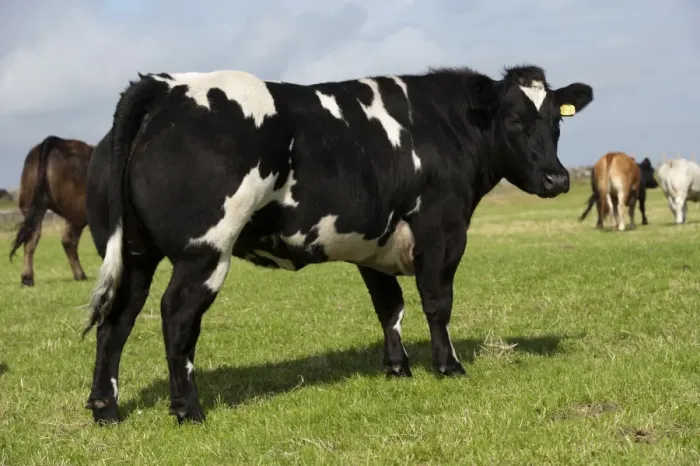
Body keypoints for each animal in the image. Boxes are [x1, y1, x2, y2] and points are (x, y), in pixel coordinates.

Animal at [9, 136, 93, 286]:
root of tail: (56, 140)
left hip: (33, 205)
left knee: (32, 238)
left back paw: (27, 278)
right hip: (78, 210)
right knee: (68, 240)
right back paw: (81, 275)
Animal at [81, 64, 593, 425]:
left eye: (556, 121)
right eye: (515, 120)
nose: (557, 178)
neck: (445, 126)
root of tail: (166, 86)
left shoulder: (375, 243)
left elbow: (390, 307)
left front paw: (398, 368)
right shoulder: (441, 231)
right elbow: (437, 303)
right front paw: (448, 366)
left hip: (133, 254)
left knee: (117, 320)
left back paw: (106, 407)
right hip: (203, 251)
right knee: (177, 316)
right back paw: (188, 409)